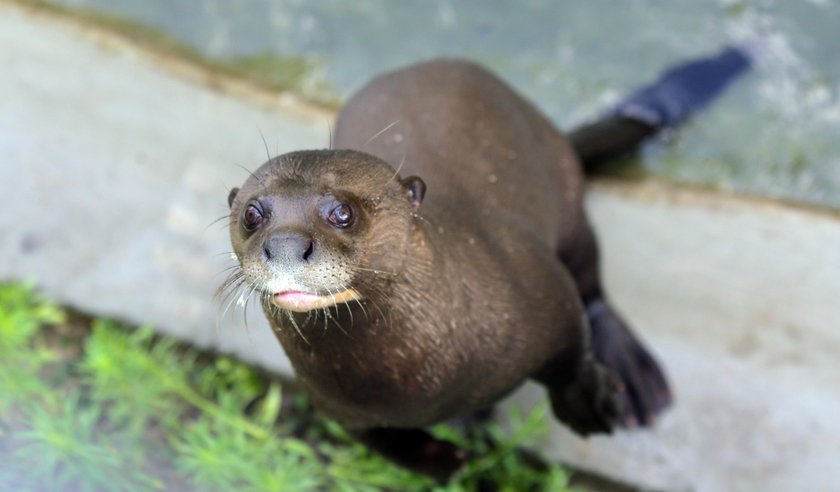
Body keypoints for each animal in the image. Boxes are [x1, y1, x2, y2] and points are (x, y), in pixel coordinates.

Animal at [223, 59, 668, 478]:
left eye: (342, 212)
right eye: (251, 213)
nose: (285, 245)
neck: (422, 385)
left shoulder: (539, 279)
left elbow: (572, 351)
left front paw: (588, 403)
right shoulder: (342, 410)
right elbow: (385, 445)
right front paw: (447, 460)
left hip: (569, 199)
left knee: (589, 280)